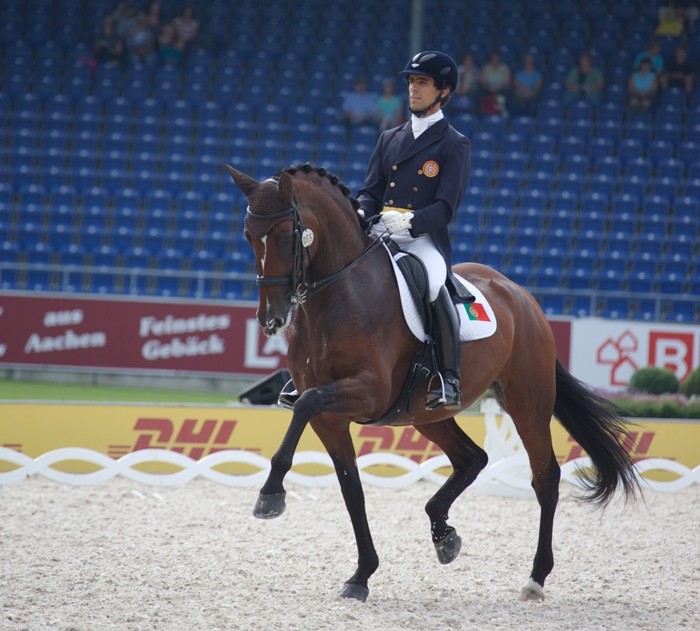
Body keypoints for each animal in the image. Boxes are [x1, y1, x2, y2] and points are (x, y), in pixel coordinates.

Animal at [225, 162, 640, 603]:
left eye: (287, 236)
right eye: (248, 236)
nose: (271, 319)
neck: (337, 297)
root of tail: (523, 297)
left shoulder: (368, 393)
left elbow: (305, 406)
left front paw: (270, 495)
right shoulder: (331, 418)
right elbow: (351, 488)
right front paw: (361, 575)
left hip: (528, 404)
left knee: (545, 478)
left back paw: (535, 578)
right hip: (425, 414)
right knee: (473, 458)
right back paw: (444, 534)